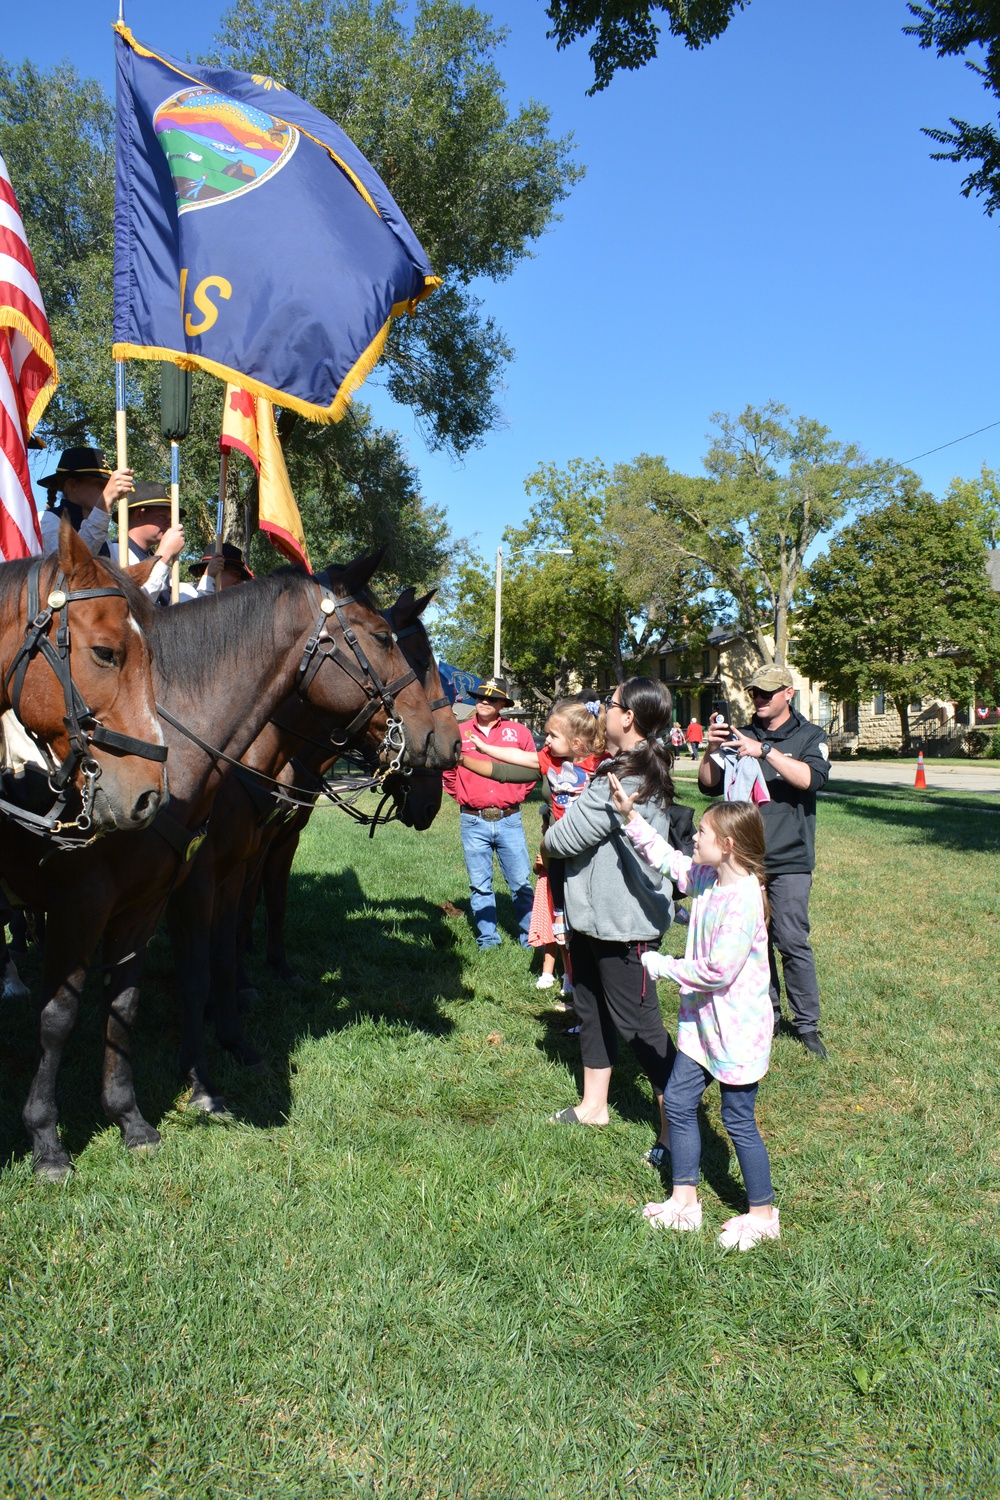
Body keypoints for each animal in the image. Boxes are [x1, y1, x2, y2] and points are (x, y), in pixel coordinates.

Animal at [1, 558, 434, 1176]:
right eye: (383, 639)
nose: (434, 742)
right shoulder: (93, 905)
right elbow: (71, 1010)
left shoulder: (188, 887)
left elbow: (182, 975)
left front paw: (224, 1048)